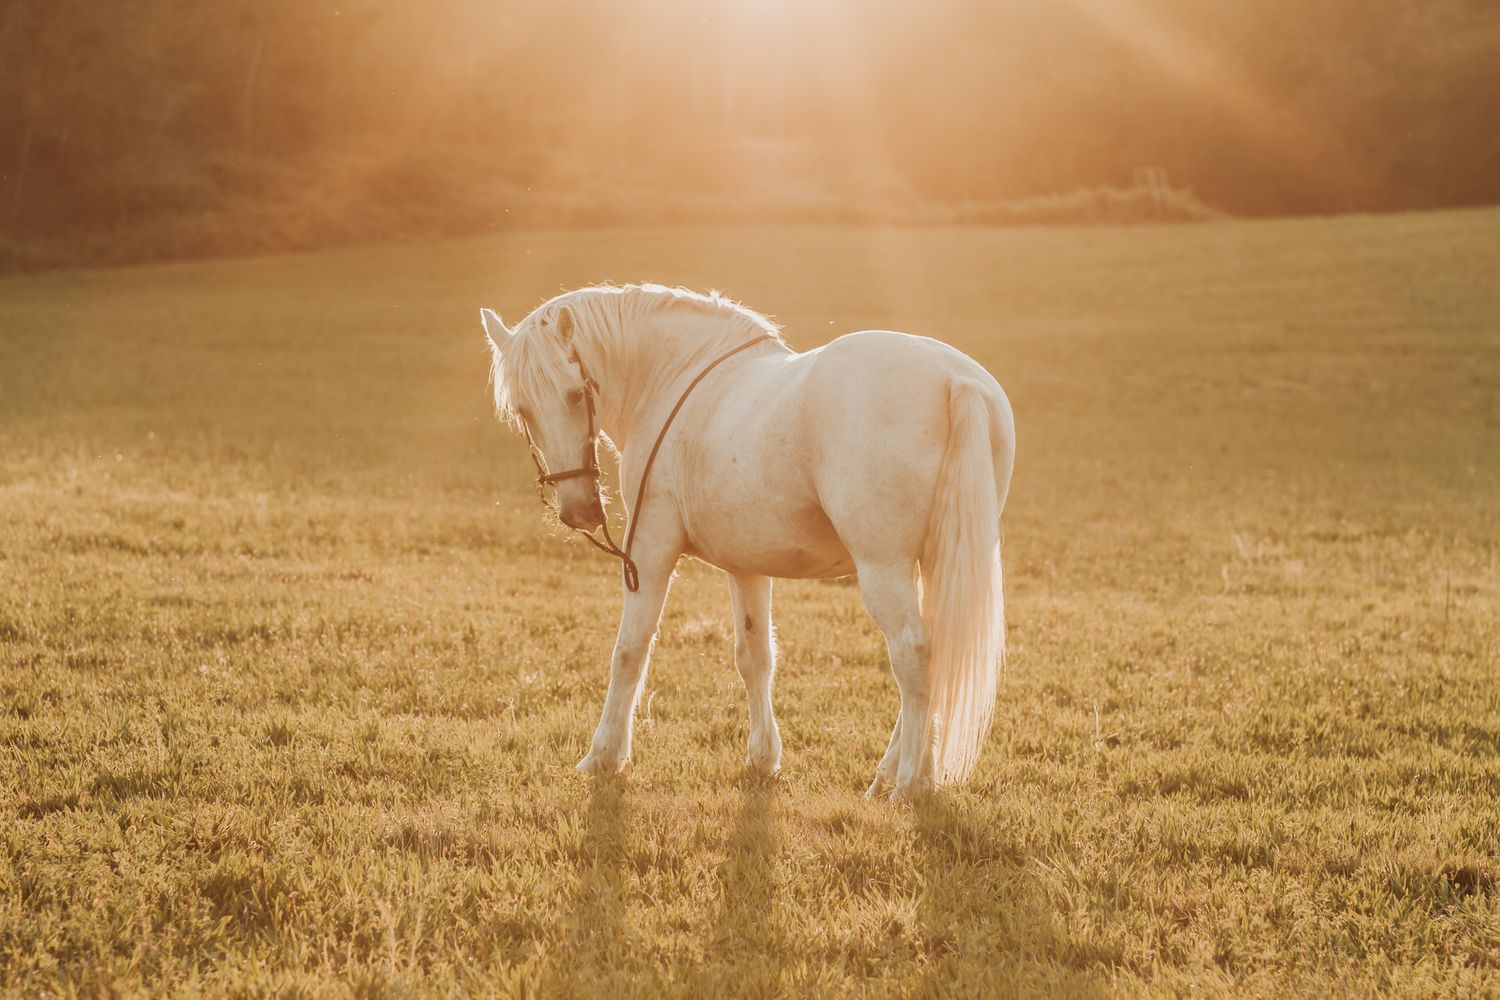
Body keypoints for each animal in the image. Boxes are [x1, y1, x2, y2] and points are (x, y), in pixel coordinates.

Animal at [482, 284, 1014, 799]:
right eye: (524, 410)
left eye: (577, 395)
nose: (579, 511)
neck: (673, 378)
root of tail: (954, 381)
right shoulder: (748, 566)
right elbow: (755, 656)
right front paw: (763, 757)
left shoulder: (650, 554)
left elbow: (629, 652)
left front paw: (603, 757)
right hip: (932, 562)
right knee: (937, 652)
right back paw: (901, 774)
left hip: (883, 567)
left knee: (912, 653)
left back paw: (904, 784)